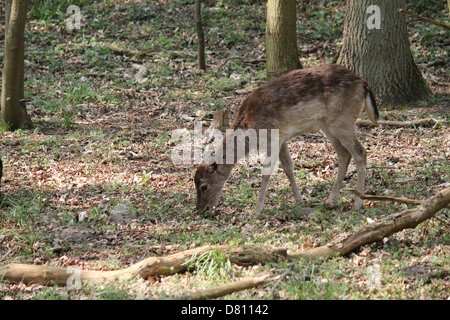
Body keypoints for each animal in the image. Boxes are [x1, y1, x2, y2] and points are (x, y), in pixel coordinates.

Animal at [194, 63, 380, 215]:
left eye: (204, 186)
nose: (200, 210)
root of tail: (364, 84)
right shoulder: (282, 138)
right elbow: (288, 168)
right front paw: (300, 200)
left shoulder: (273, 136)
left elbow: (267, 172)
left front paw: (257, 210)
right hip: (326, 125)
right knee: (344, 154)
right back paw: (330, 201)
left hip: (343, 120)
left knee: (360, 153)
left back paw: (358, 203)